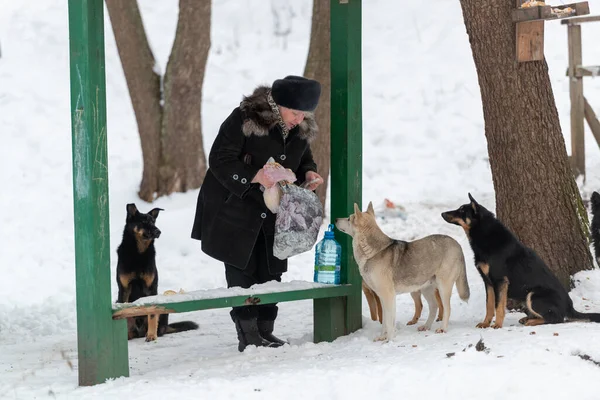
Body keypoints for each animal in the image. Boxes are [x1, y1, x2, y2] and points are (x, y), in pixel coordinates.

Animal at [117, 205, 199, 342]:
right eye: (143, 221)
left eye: (153, 222)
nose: (158, 231)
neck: (138, 254)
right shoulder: (124, 288)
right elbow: (125, 313)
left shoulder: (151, 288)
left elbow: (152, 314)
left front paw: (151, 335)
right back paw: (131, 334)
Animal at [338, 203, 468, 340]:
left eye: (349, 218)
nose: (335, 220)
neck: (374, 252)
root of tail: (457, 244)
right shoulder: (382, 296)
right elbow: (385, 320)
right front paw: (382, 337)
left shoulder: (388, 295)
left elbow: (389, 321)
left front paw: (389, 340)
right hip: (427, 288)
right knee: (434, 307)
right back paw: (426, 326)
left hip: (443, 287)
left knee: (447, 308)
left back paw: (443, 328)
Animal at [440, 194, 600, 328]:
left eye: (462, 210)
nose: (442, 213)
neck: (486, 235)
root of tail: (570, 308)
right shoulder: (489, 283)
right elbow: (489, 306)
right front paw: (485, 323)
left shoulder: (500, 281)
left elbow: (498, 306)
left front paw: (497, 326)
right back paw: (527, 319)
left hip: (532, 295)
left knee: (556, 319)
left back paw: (531, 321)